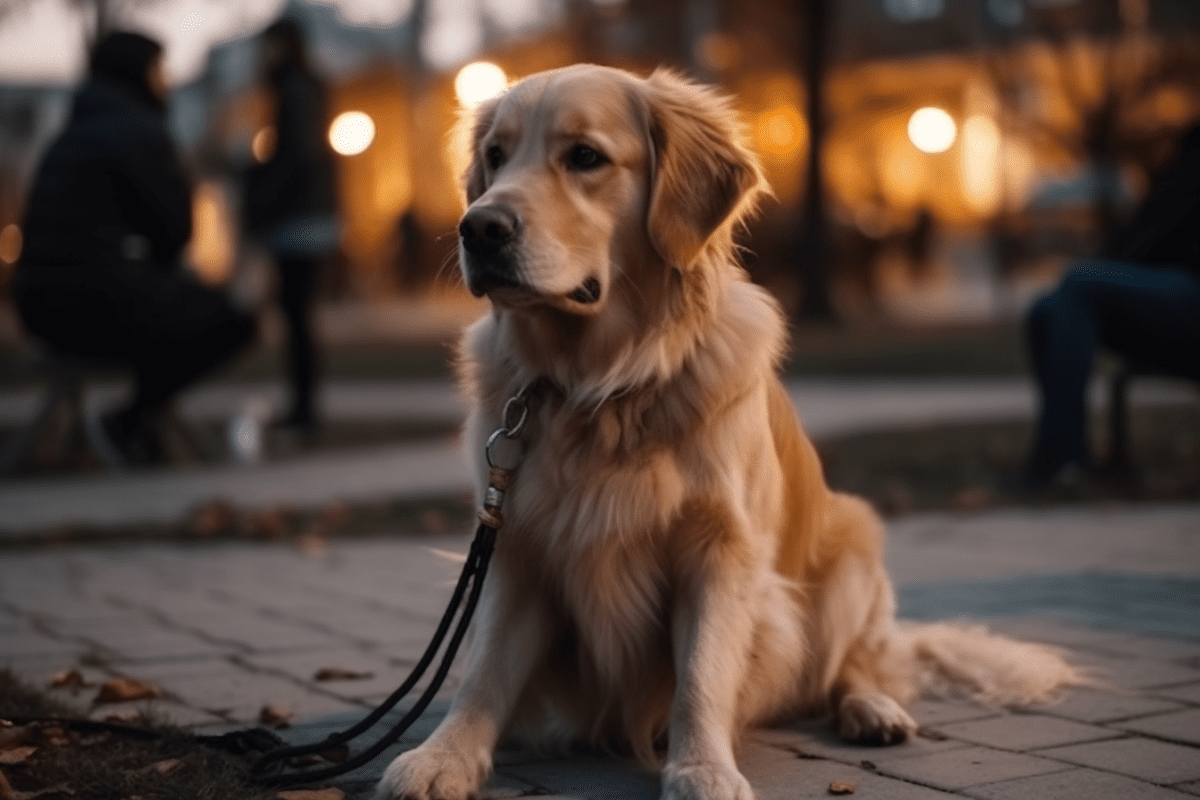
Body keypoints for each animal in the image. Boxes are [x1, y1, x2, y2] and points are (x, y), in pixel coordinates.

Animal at [379, 64, 1084, 800]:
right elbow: (484, 671)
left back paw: (872, 709)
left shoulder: (720, 548)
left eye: (585, 157)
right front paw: (443, 756)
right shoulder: (517, 542)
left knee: (850, 666)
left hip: (854, 547)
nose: (477, 228)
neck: (602, 384)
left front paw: (702, 768)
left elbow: (702, 674)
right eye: (495, 157)